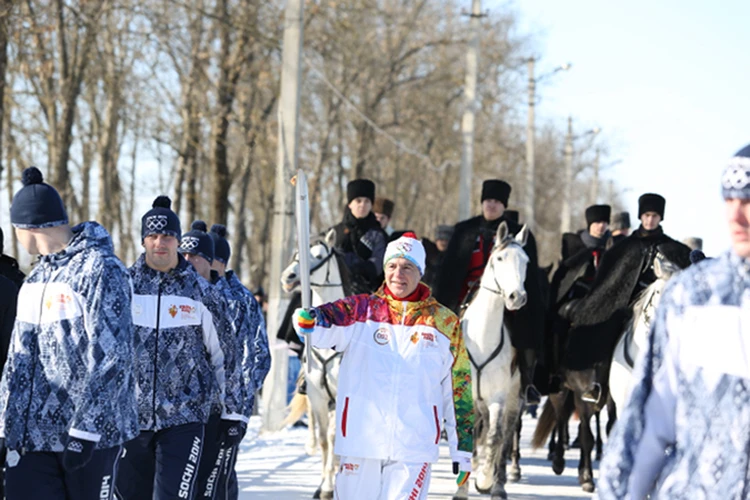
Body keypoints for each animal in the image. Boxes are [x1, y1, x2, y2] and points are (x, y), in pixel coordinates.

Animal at [456, 222, 532, 500]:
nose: (516, 297)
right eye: (500, 258)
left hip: (514, 400)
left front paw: (484, 480)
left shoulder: (498, 397)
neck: (482, 340)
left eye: (526, 261)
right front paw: (462, 489)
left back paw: (497, 485)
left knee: (505, 437)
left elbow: (495, 437)